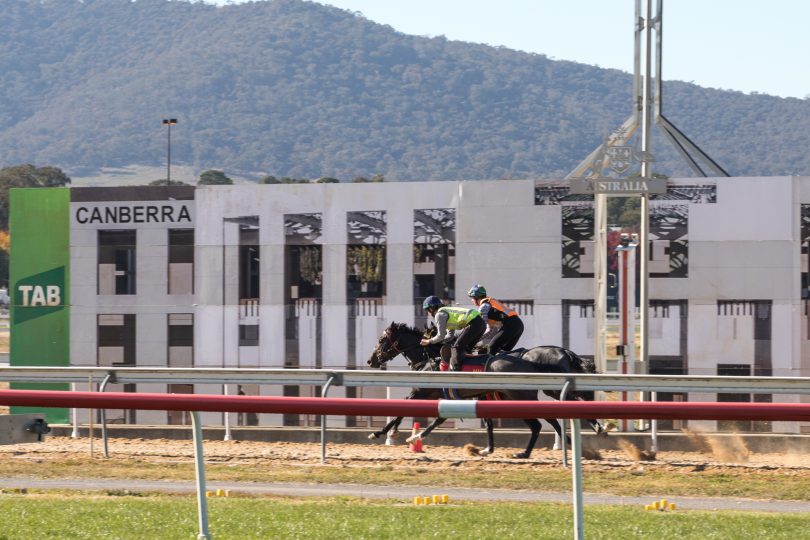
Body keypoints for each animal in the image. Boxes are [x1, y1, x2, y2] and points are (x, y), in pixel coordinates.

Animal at [368, 322, 608, 458]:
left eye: (382, 339)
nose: (372, 360)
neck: (432, 358)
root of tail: (566, 352)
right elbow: (456, 420)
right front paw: (485, 449)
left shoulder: (423, 391)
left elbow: (403, 408)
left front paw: (384, 432)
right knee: (551, 419)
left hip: (536, 394)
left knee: (554, 415)